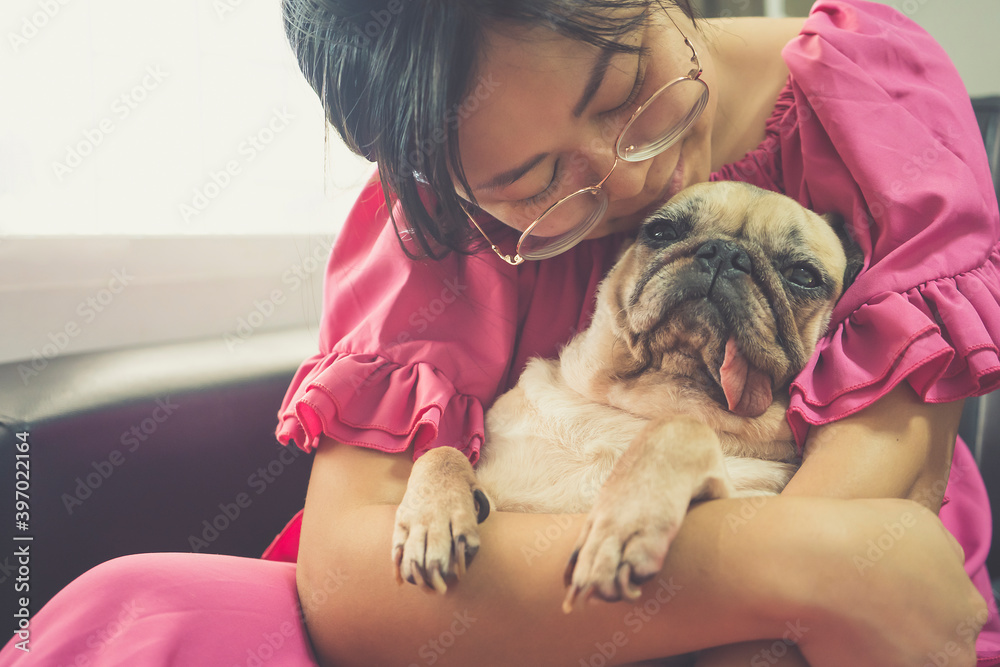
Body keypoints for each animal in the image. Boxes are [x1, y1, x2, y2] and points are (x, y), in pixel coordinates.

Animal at [388, 180, 860, 608]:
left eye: (803, 276)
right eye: (661, 232)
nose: (726, 253)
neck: (651, 396)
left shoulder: (744, 496)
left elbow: (679, 431)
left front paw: (625, 520)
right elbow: (443, 452)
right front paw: (433, 518)